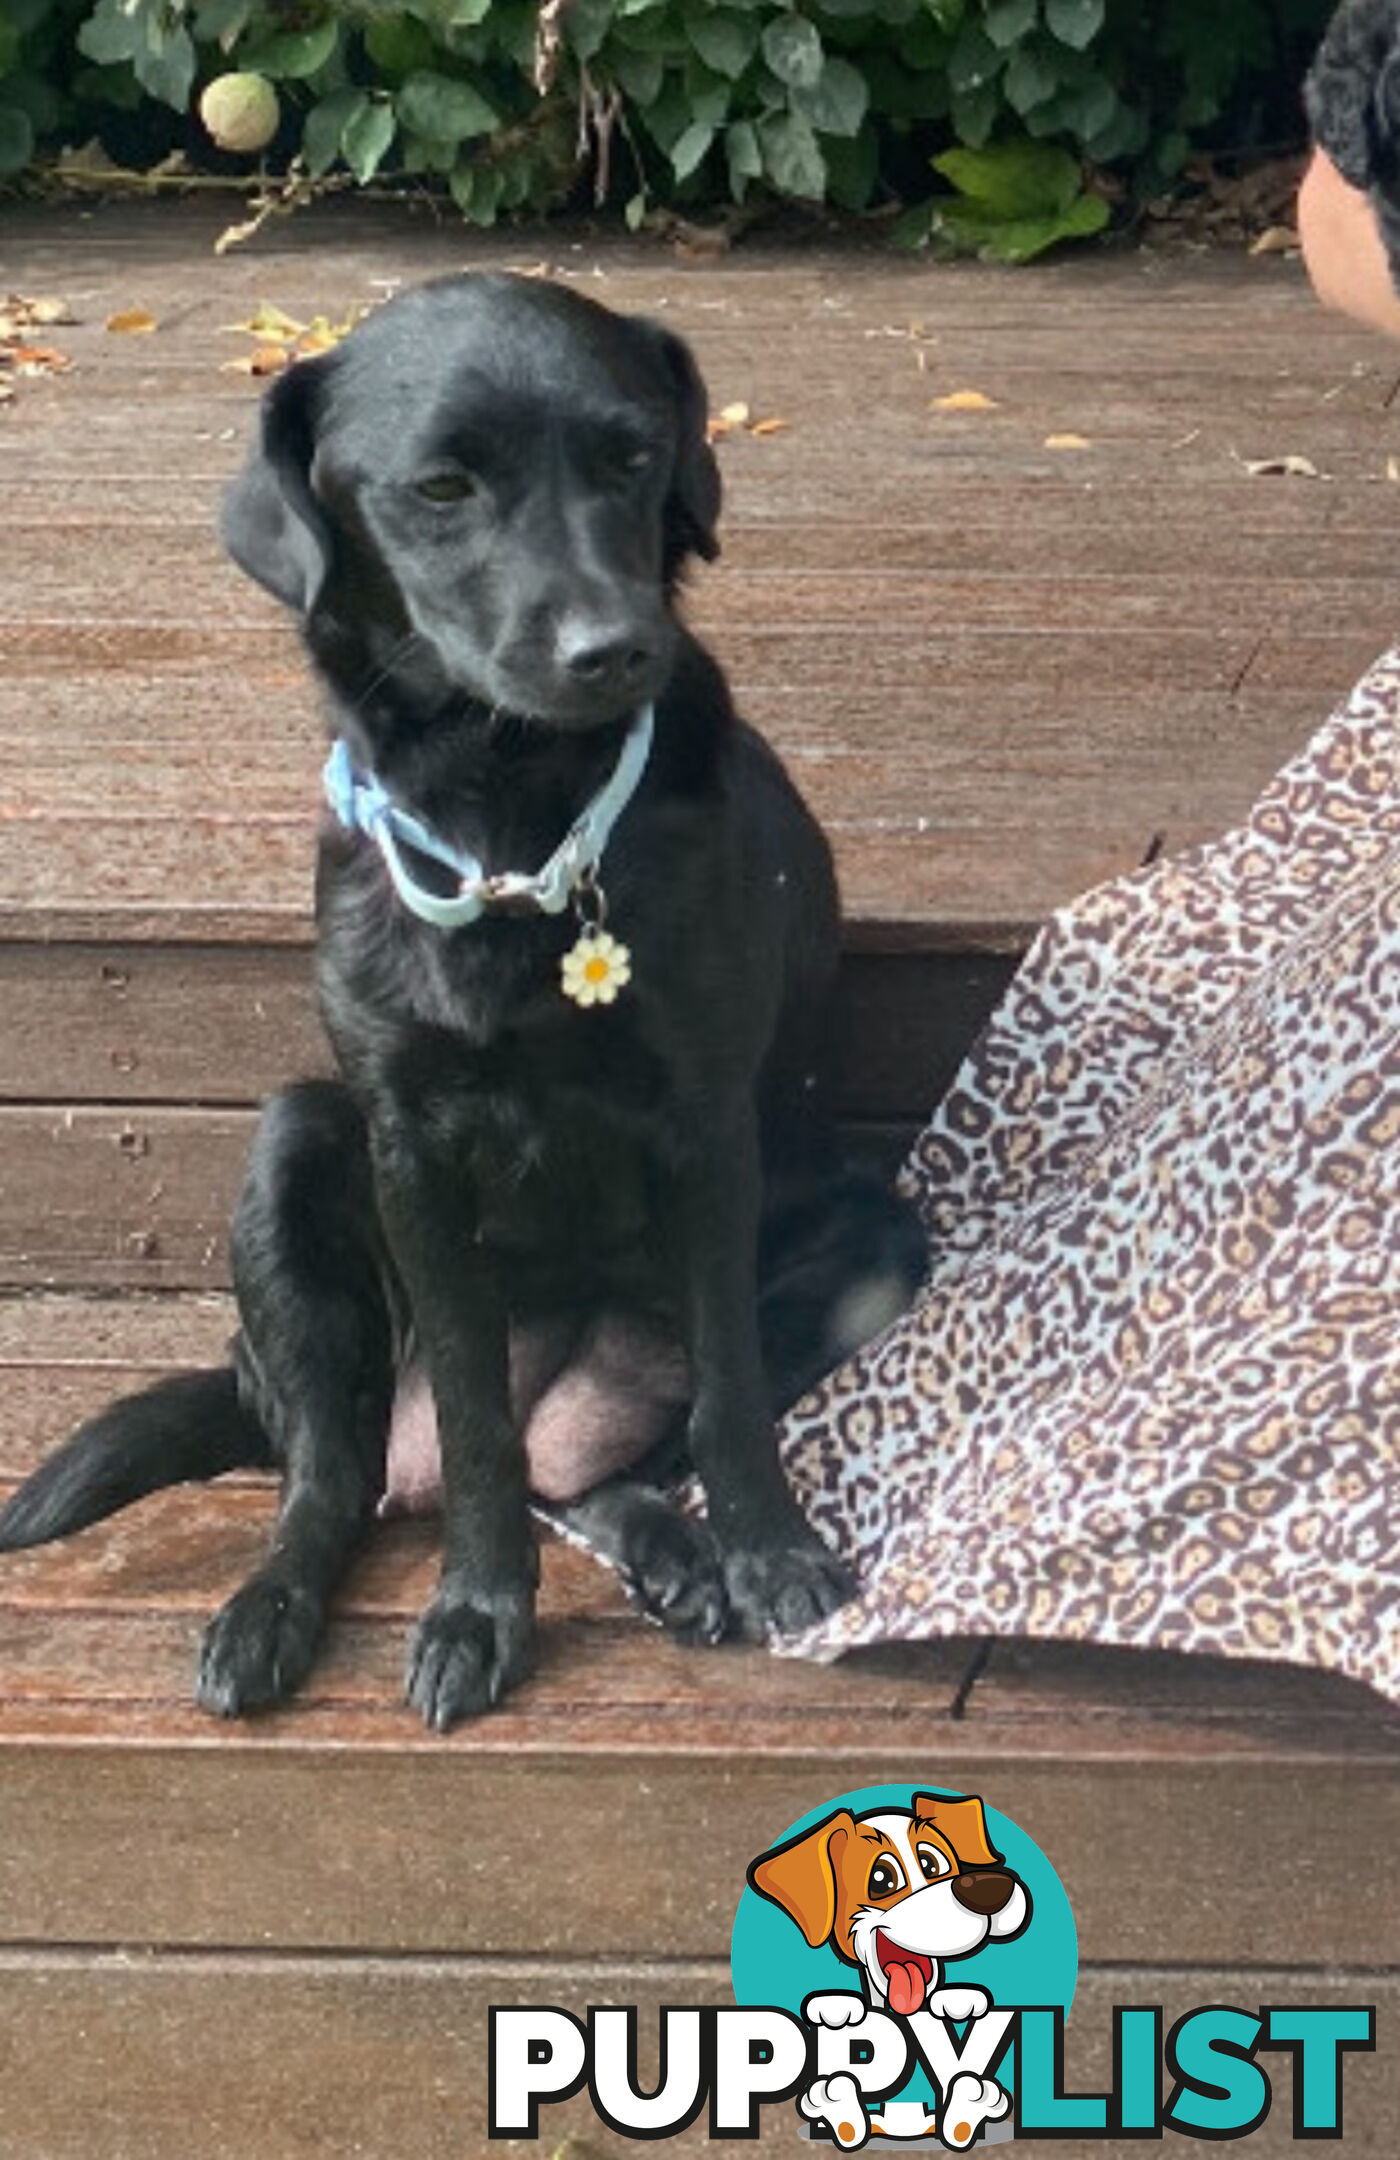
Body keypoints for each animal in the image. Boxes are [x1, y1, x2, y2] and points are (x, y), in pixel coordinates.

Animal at [0, 270, 924, 1728]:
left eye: (633, 455)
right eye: (440, 487)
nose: (617, 647)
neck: (510, 825)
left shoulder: (711, 1127)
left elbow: (726, 1394)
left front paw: (768, 1553)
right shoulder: (413, 1151)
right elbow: (481, 1438)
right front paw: (478, 1616)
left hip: (877, 1245)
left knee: (602, 1470)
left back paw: (677, 1555)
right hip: (293, 1153)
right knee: (339, 1477)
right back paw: (267, 1612)